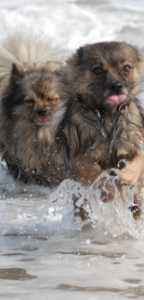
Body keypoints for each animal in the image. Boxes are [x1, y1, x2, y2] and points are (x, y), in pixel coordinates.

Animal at [62, 41, 144, 219]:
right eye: (98, 70)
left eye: (127, 68)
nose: (117, 86)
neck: (108, 114)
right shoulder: (81, 159)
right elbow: (99, 175)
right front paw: (111, 191)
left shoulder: (135, 143)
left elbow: (139, 159)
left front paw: (127, 175)